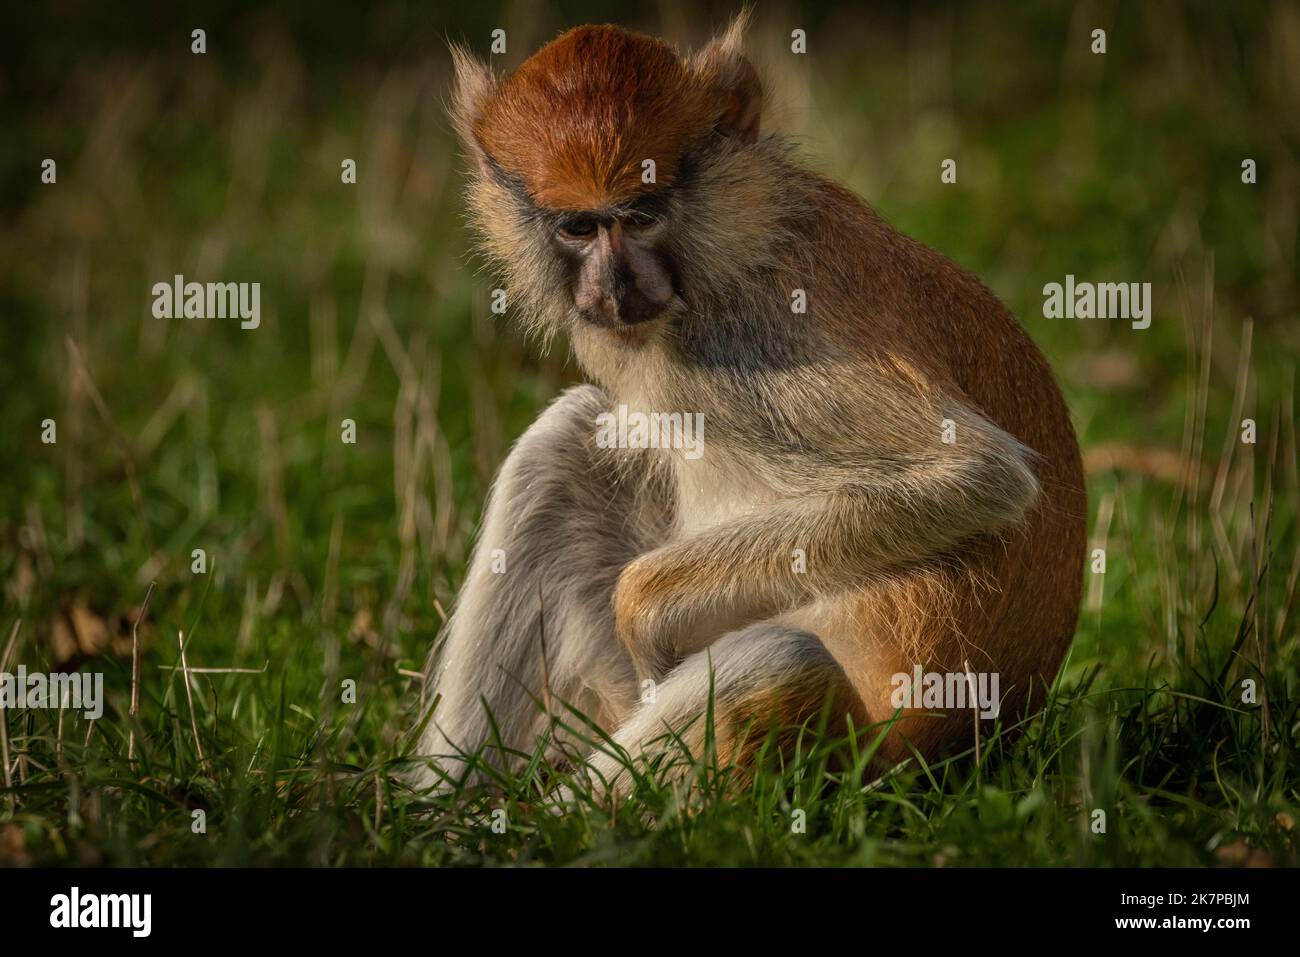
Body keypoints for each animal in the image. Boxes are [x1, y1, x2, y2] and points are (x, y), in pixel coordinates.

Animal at [413, 13, 1087, 797]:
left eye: (643, 214)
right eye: (578, 226)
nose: (615, 289)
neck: (735, 240)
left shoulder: (755, 340)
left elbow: (979, 477)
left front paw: (643, 612)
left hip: (833, 755)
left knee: (774, 660)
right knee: (564, 443)